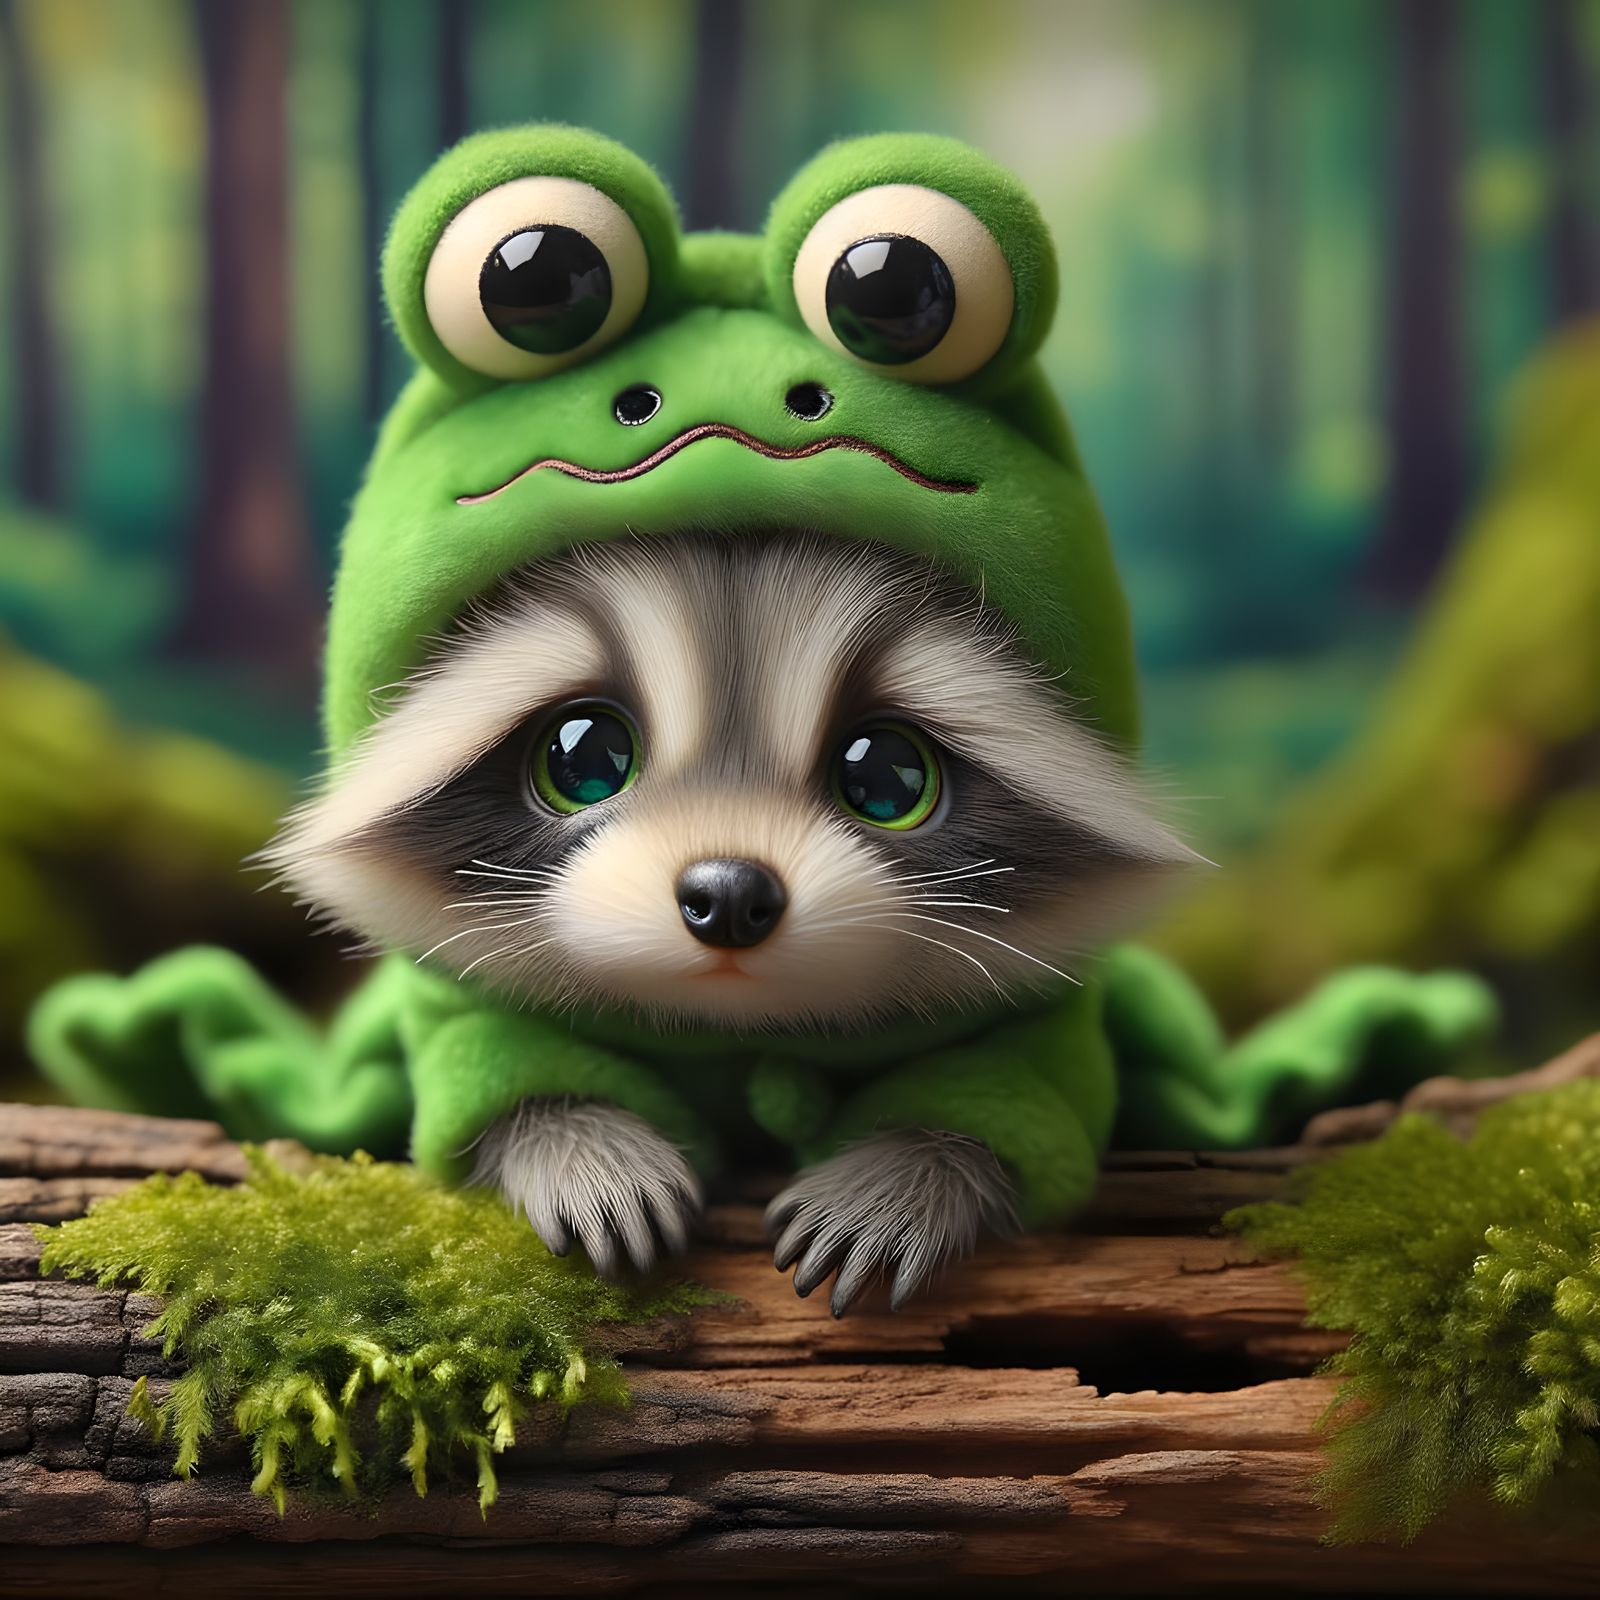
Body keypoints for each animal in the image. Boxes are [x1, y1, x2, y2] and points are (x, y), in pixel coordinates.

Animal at [270, 530, 1191, 1311]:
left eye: (888, 775)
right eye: (584, 757)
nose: (730, 895)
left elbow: (1019, 1079)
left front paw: (904, 1174)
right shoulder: (455, 1001)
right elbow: (494, 1057)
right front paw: (583, 1149)